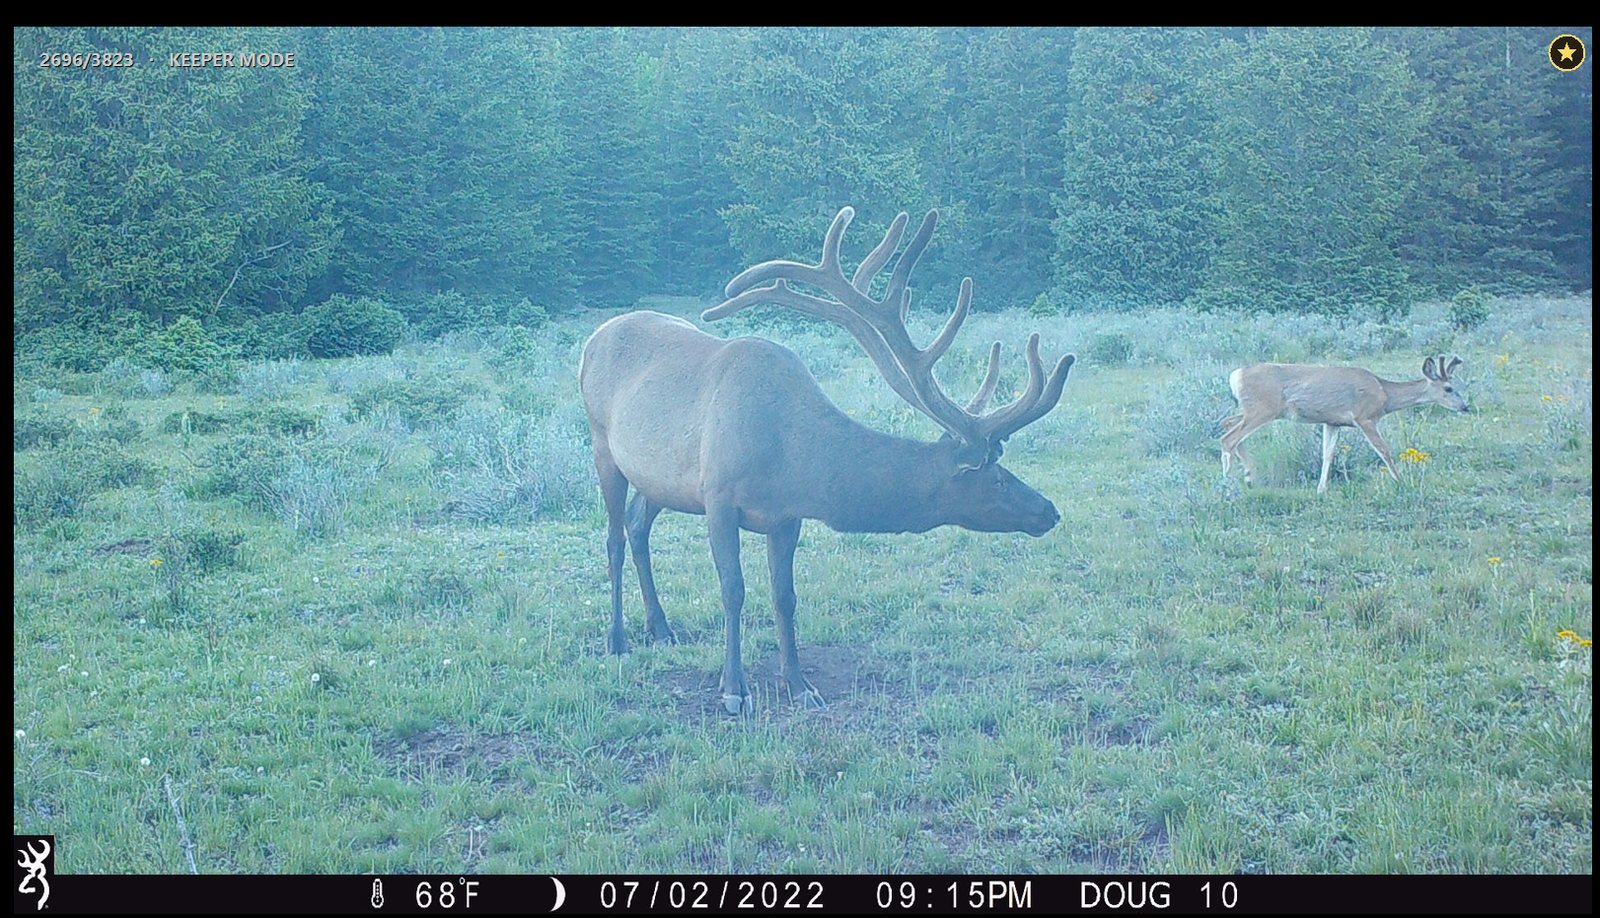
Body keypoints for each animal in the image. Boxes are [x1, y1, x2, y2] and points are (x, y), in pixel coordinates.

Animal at [579, 206, 1074, 715]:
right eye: (996, 477)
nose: (1049, 510)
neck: (796, 461)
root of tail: (594, 337)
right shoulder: (718, 497)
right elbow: (733, 591)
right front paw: (734, 688)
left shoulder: (786, 515)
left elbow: (785, 596)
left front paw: (799, 684)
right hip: (602, 445)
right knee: (614, 538)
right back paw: (618, 640)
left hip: (659, 478)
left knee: (637, 524)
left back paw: (661, 628)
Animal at [1220, 356, 1468, 493]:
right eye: (1449, 388)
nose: (1465, 406)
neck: (1385, 394)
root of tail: (1235, 375)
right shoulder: (1364, 417)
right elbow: (1384, 451)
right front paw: (1401, 481)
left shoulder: (1333, 421)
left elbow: (1328, 454)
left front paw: (1321, 489)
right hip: (1263, 409)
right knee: (1228, 438)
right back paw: (1228, 485)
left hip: (1253, 410)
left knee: (1227, 423)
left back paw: (1249, 477)